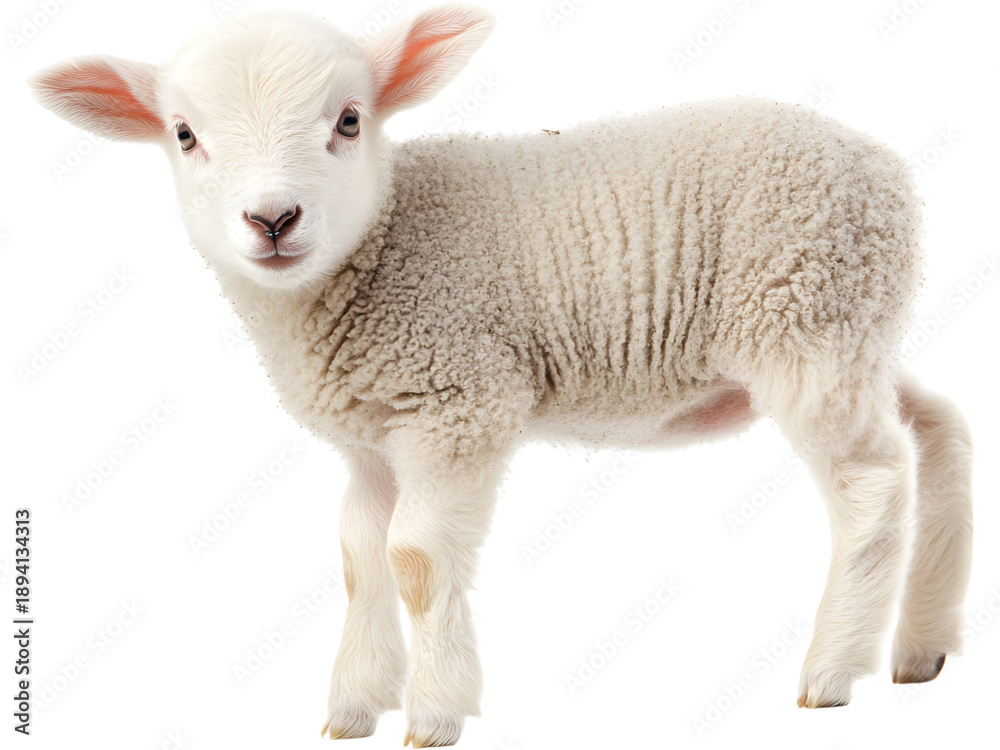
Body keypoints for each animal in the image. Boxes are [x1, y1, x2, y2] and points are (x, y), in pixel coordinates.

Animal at [28, 3, 974, 746]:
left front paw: (432, 715)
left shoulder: (460, 401)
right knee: (938, 427)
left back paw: (833, 670)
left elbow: (412, 558)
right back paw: (923, 646)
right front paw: (352, 707)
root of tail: (888, 173)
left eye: (349, 121)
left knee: (872, 480)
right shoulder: (373, 439)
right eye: (184, 135)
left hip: (801, 316)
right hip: (855, 325)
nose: (272, 219)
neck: (384, 242)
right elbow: (359, 558)